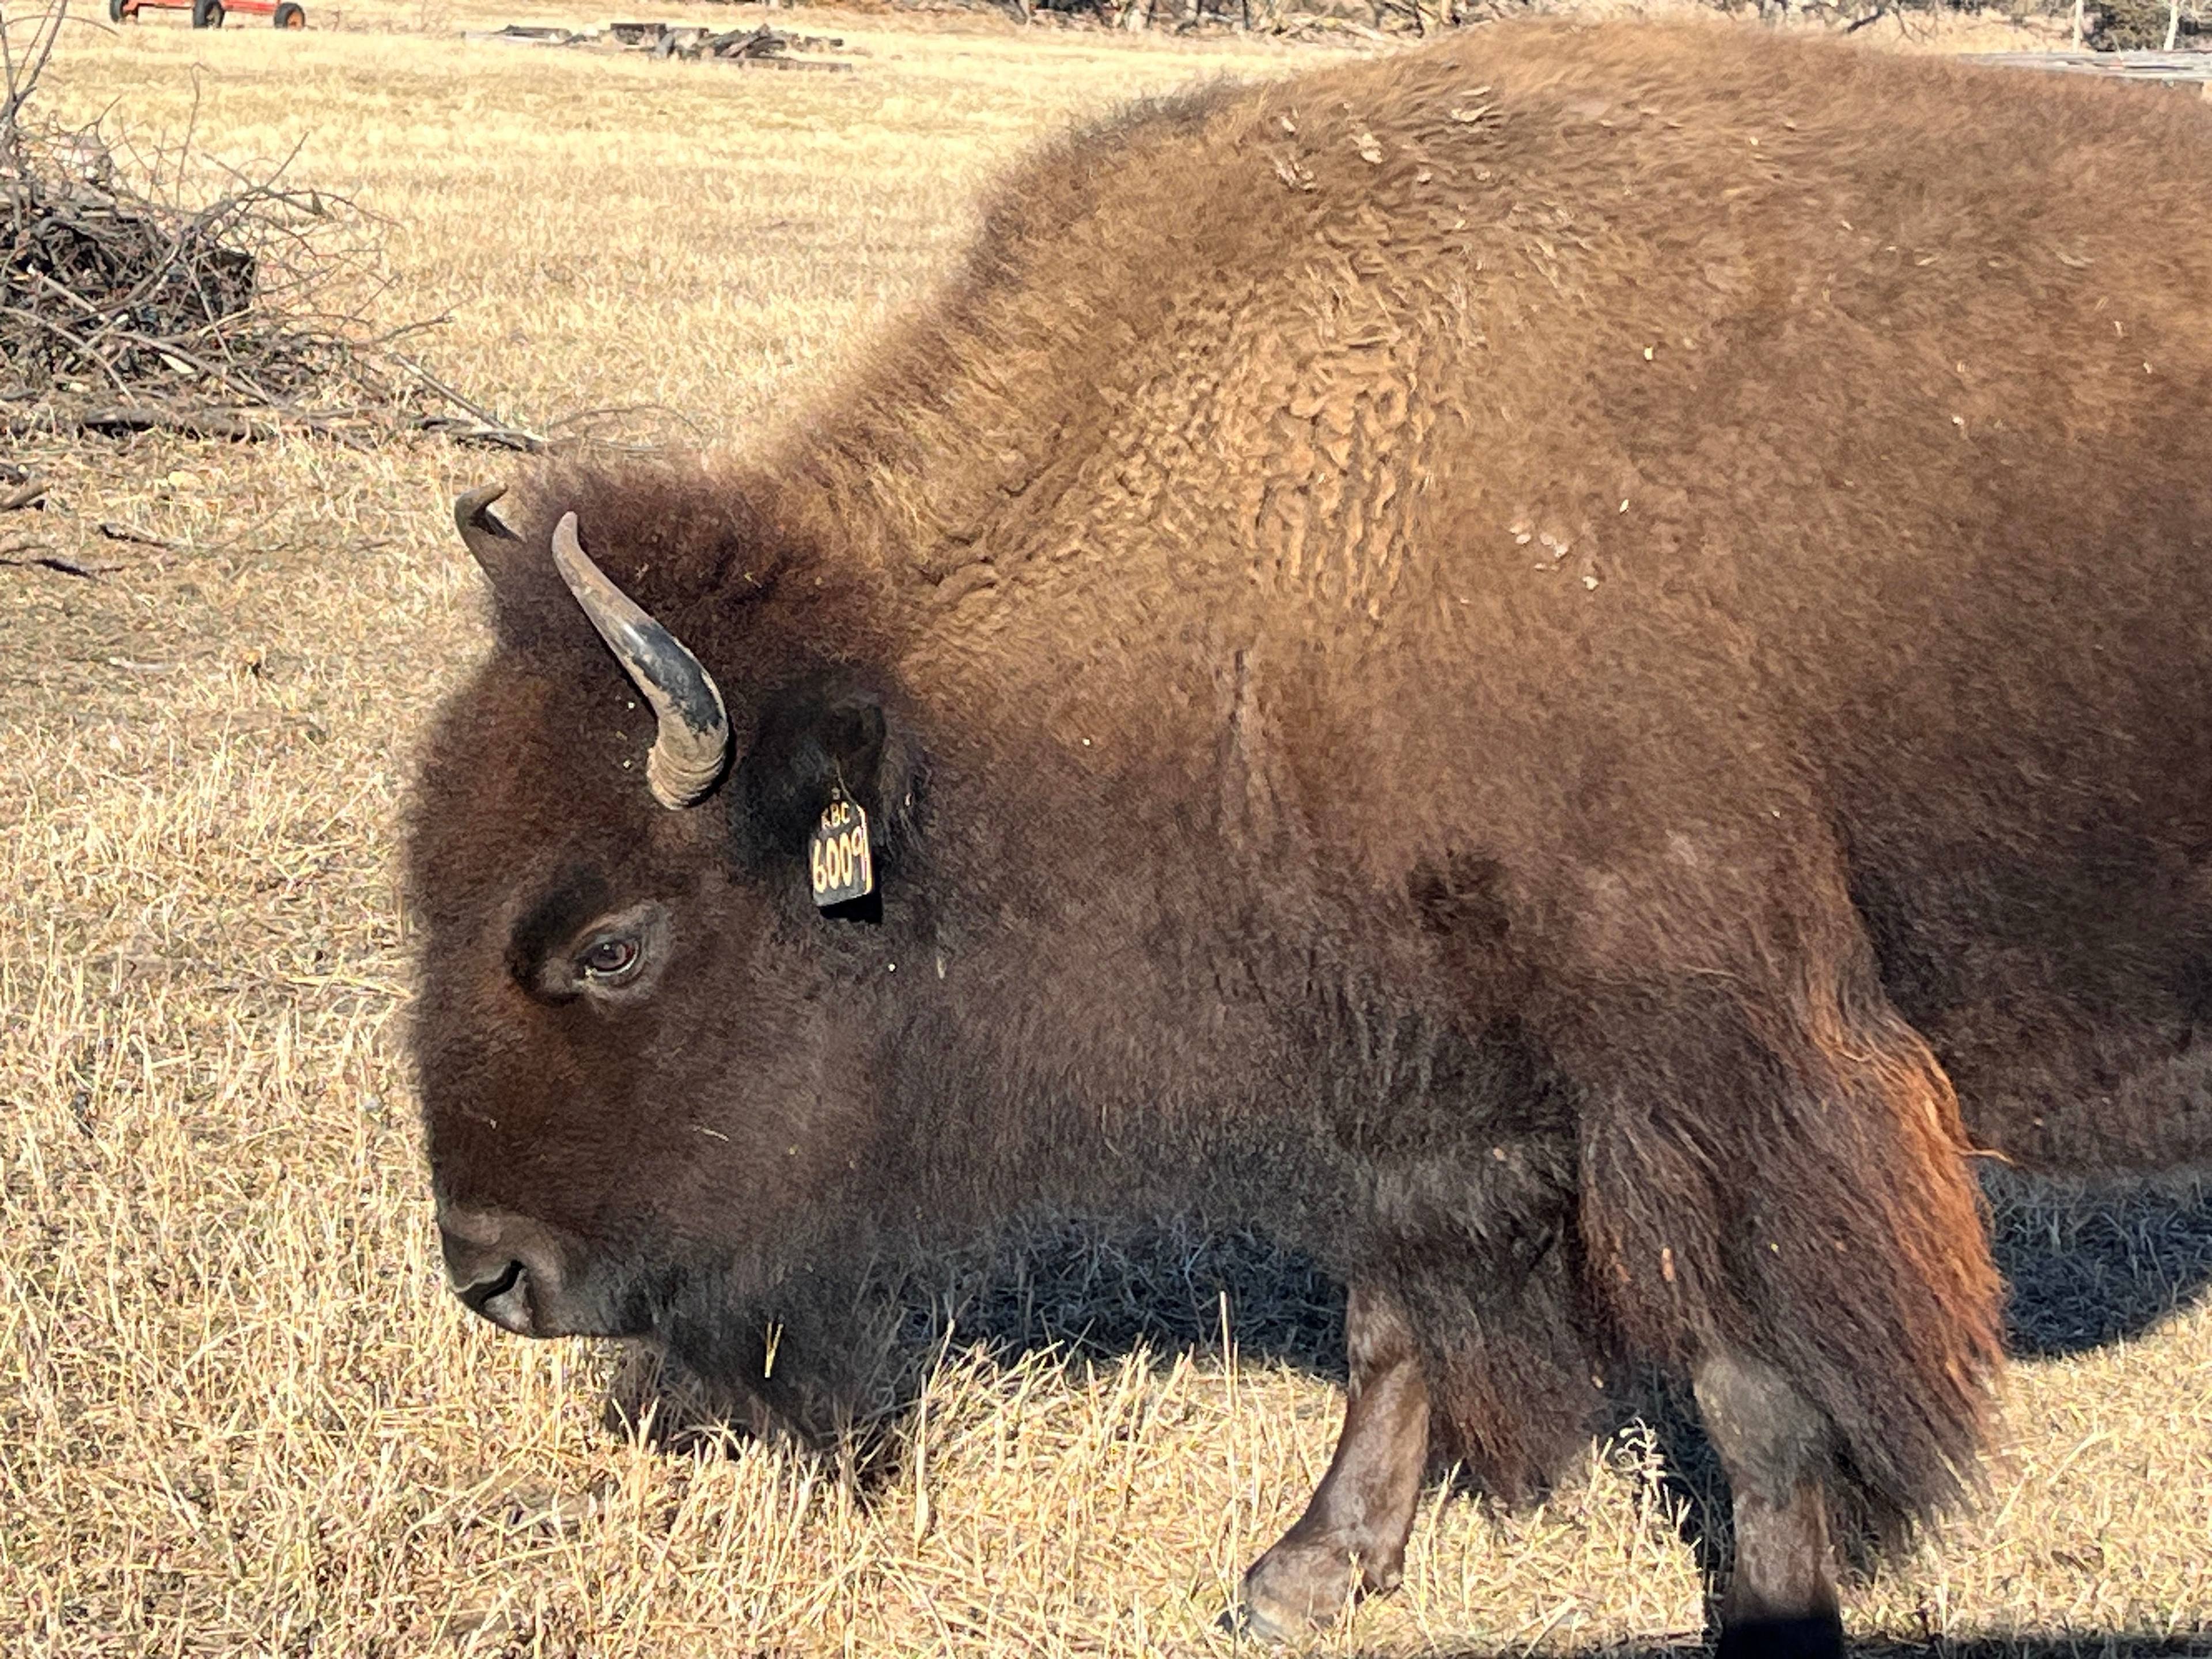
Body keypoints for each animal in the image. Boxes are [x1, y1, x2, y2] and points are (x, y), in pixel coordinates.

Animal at [407, 20, 2212, 1654]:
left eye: (612, 942)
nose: (491, 1275)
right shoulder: (1413, 1069)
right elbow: (1392, 1328)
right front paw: (1304, 1571)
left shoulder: (1706, 1072)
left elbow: (1748, 1398)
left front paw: (1776, 1617)